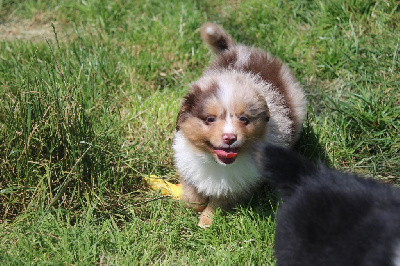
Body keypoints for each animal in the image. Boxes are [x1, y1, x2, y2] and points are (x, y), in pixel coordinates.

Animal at [172, 22, 306, 228]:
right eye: (210, 119)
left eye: (244, 119)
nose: (230, 137)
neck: (215, 163)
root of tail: (241, 49)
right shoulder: (188, 165)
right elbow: (193, 195)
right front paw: (190, 207)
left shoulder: (236, 186)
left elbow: (218, 202)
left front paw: (206, 222)